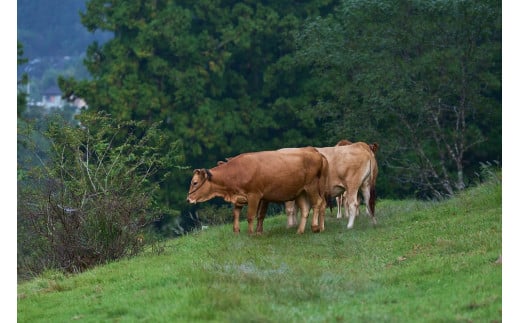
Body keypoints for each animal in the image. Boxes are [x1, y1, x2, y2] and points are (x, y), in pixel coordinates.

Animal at [186, 147, 330, 235]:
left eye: (195, 182)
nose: (188, 199)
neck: (236, 172)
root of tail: (315, 152)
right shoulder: (240, 197)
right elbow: (236, 214)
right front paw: (237, 231)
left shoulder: (255, 196)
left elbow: (252, 216)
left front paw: (252, 233)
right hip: (300, 191)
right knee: (306, 208)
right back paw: (300, 231)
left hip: (312, 186)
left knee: (318, 203)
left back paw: (316, 227)